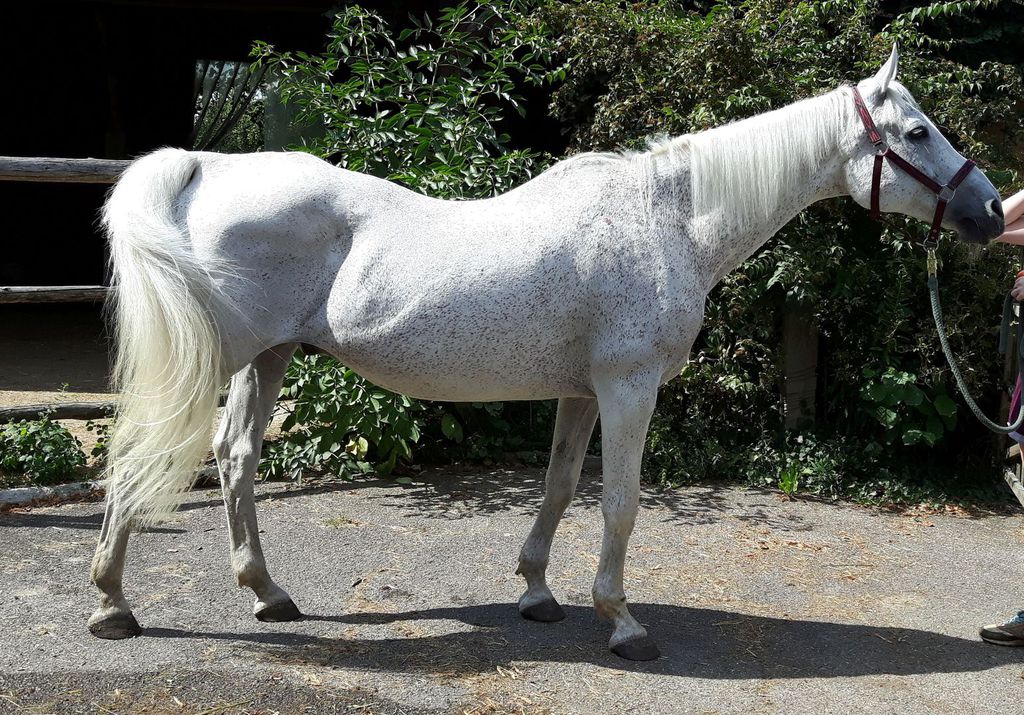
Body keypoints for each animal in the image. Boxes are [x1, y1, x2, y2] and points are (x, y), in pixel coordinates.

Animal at [88, 45, 1004, 661]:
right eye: (916, 130)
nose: (993, 212)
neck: (669, 218)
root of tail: (206, 167)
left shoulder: (582, 391)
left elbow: (562, 489)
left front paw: (536, 591)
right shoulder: (630, 386)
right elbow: (621, 503)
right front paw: (624, 622)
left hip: (268, 355)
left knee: (236, 456)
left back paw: (267, 593)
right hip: (219, 358)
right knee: (144, 453)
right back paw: (111, 605)